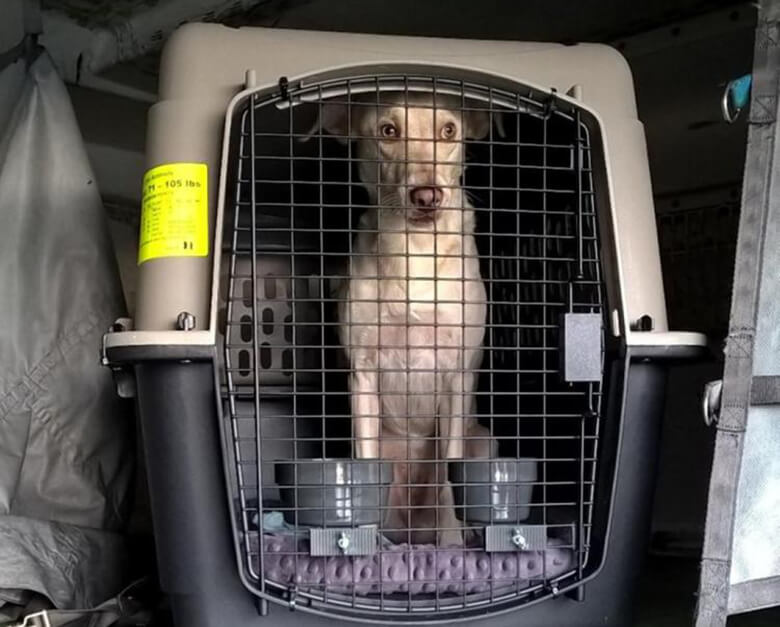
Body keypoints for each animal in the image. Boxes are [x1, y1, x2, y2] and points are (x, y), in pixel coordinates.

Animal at [310, 92, 494, 544]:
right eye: (388, 131)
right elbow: (365, 466)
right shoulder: (363, 374)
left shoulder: (456, 375)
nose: (427, 195)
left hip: (483, 438)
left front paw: (452, 544)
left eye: (449, 130)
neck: (416, 250)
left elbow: (448, 476)